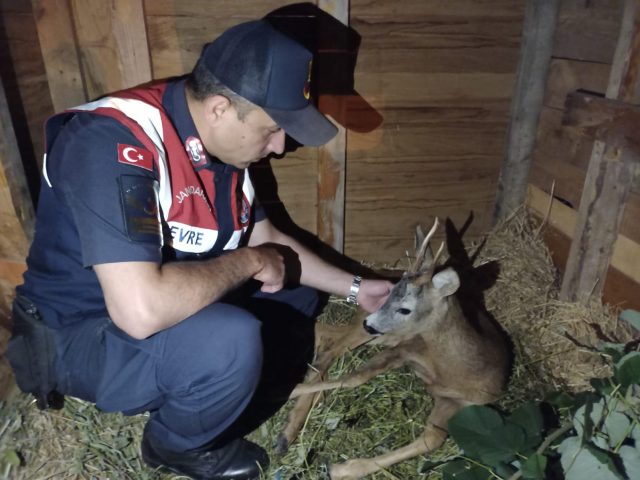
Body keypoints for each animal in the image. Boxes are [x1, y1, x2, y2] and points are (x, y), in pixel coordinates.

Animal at [278, 218, 512, 480]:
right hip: (376, 331)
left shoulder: (460, 403)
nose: (369, 323)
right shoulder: (405, 350)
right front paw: (290, 391)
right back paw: (290, 428)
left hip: (380, 334)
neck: (454, 371)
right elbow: (354, 378)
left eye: (405, 308)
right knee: (330, 350)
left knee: (327, 337)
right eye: (390, 295)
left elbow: (432, 439)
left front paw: (343, 469)